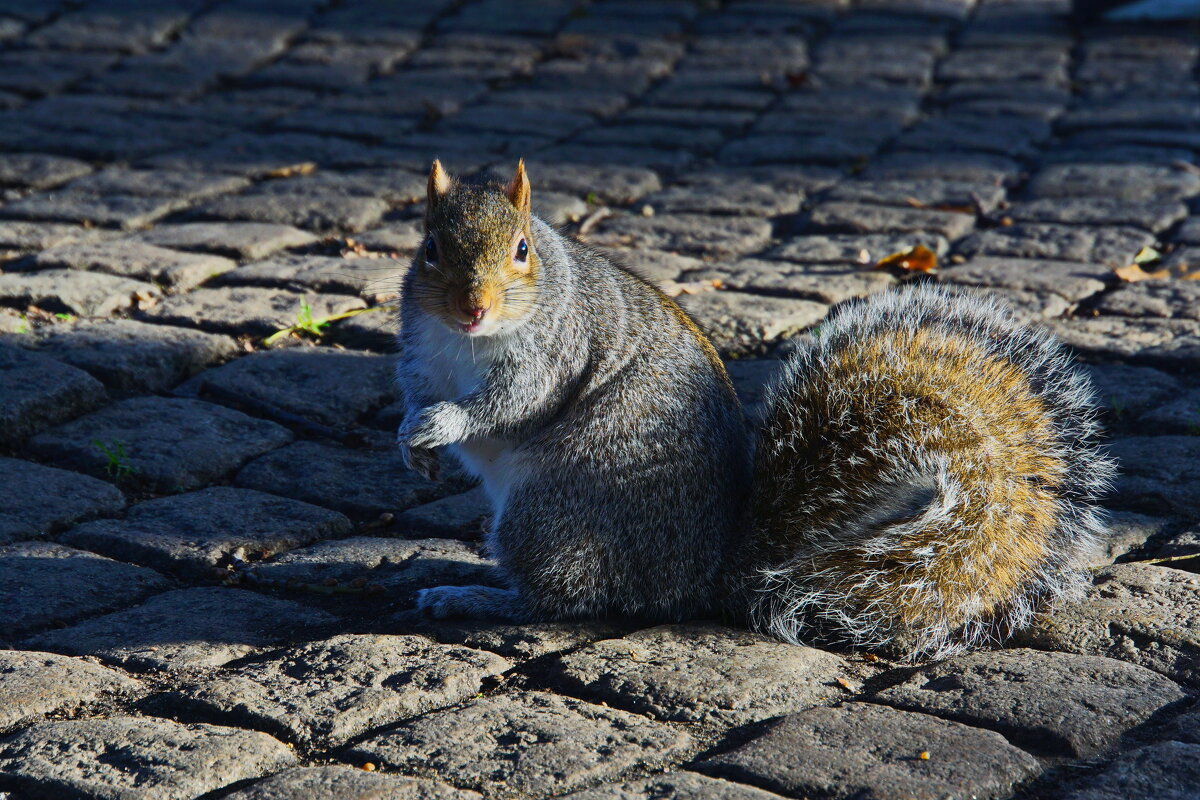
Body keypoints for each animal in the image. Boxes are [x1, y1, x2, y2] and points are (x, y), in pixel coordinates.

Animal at [396, 159, 1113, 662]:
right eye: (429, 248)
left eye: (522, 250)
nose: (471, 307)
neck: (466, 342)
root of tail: (701, 575)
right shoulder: (421, 353)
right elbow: (415, 390)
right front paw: (413, 440)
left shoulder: (556, 351)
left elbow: (514, 403)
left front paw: (447, 424)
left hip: (550, 513)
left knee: (556, 601)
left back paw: (468, 595)